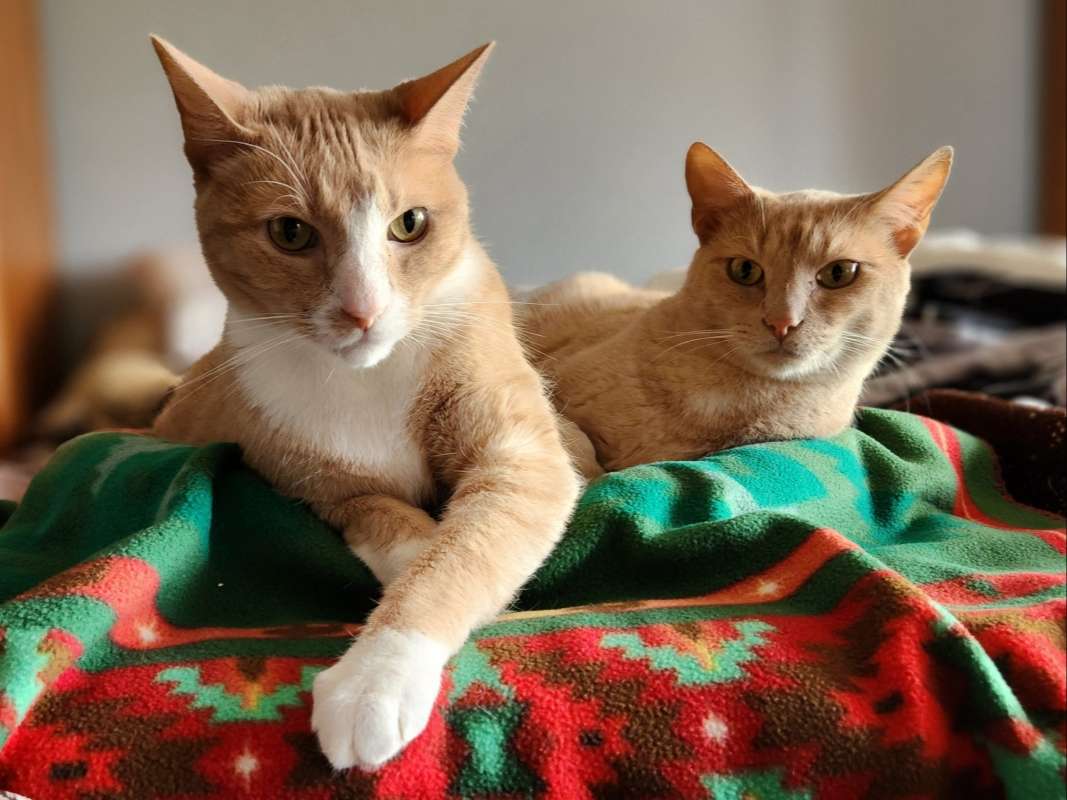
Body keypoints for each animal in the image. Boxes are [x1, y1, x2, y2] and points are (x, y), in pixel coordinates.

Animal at [149, 37, 580, 772]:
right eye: (290, 233)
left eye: (410, 224)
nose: (363, 310)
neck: (365, 380)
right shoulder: (320, 485)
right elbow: (406, 532)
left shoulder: (519, 461)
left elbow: (461, 555)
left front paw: (378, 677)